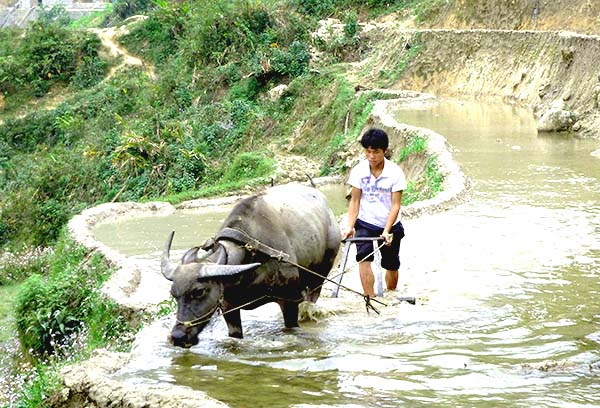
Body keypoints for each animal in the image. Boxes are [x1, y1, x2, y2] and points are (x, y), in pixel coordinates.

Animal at [161, 183, 342, 346]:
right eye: (173, 294)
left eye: (198, 291)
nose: (178, 336)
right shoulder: (229, 306)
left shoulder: (289, 299)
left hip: (321, 273)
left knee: (312, 298)